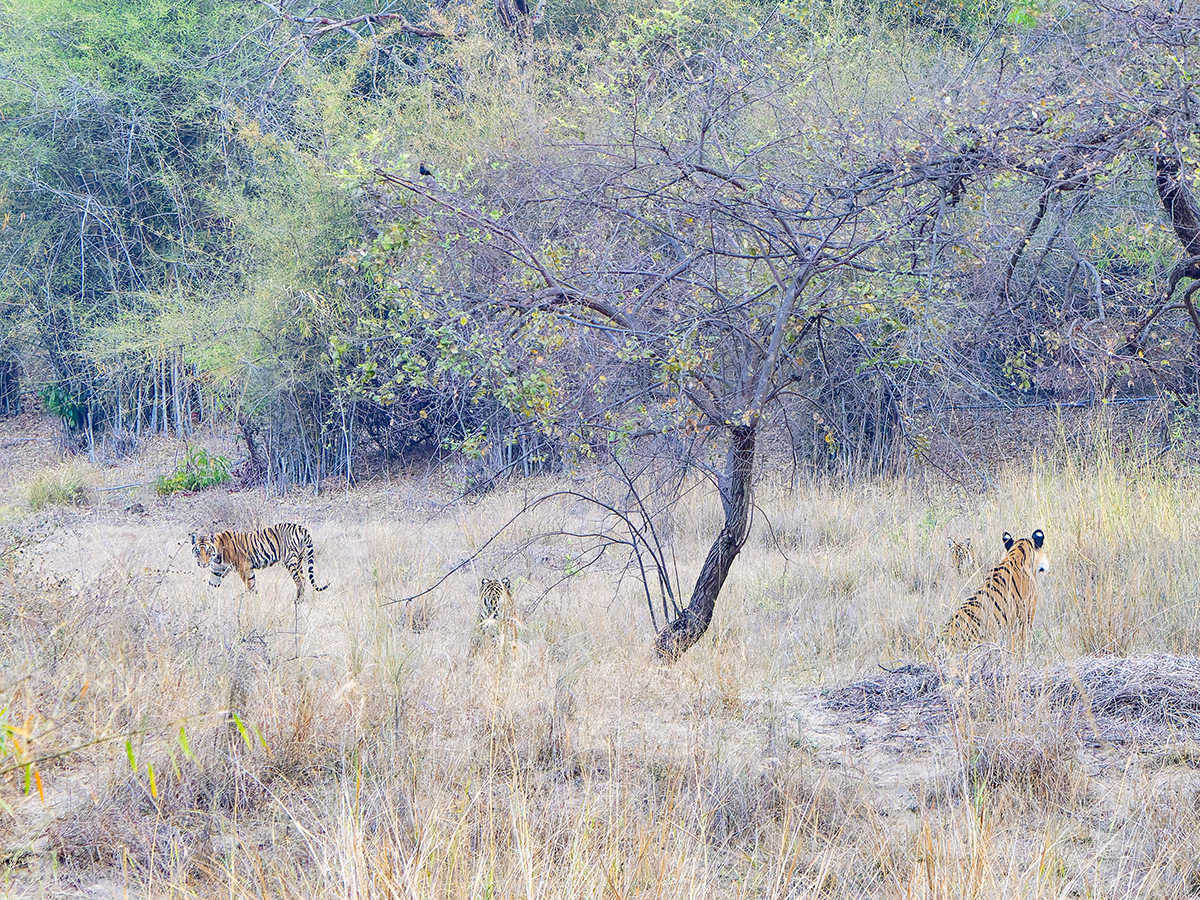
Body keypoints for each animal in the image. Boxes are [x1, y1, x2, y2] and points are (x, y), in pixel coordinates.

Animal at [190, 523, 329, 604]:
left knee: (299, 580)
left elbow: (251, 586)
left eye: (207, 552)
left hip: (290, 560)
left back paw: (297, 601)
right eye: (197, 552)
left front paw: (253, 603)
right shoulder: (217, 571)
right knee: (304, 579)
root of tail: (300, 527)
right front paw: (205, 604)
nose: (203, 564)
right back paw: (301, 600)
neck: (217, 555)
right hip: (299, 560)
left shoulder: (245, 567)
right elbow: (210, 587)